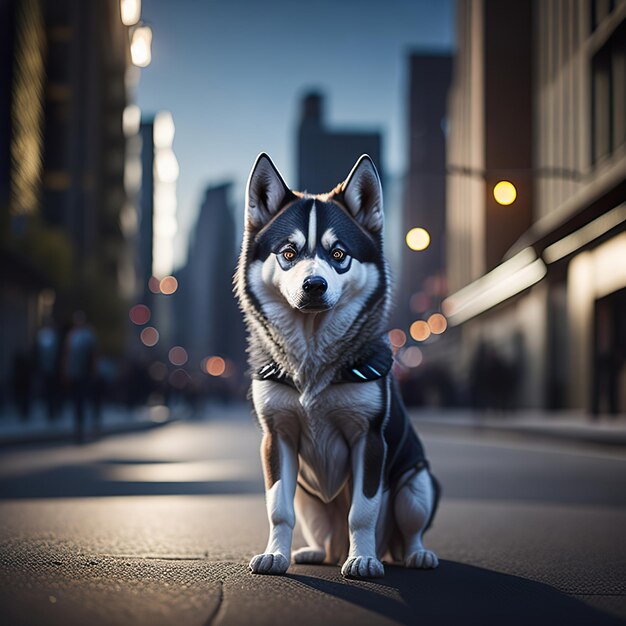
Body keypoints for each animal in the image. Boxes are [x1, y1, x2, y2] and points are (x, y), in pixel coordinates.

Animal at [234, 152, 438, 576]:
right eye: (289, 253)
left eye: (339, 254)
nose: (314, 285)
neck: (312, 352)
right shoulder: (277, 437)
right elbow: (277, 508)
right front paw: (275, 554)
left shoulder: (369, 439)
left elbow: (362, 510)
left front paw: (362, 559)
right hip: (308, 497)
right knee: (325, 539)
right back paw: (316, 552)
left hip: (418, 483)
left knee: (410, 528)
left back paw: (413, 554)